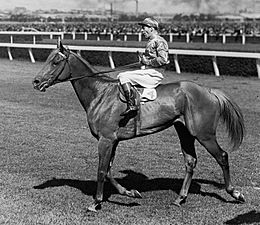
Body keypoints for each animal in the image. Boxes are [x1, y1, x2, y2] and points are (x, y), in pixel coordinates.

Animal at [32, 41, 246, 212]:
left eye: (55, 61)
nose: (36, 81)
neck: (100, 93)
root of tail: (209, 91)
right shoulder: (113, 141)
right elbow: (108, 170)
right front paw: (130, 192)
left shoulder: (105, 140)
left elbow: (101, 171)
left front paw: (96, 202)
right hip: (184, 131)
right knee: (190, 161)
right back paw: (180, 198)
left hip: (204, 134)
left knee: (222, 156)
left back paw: (235, 193)